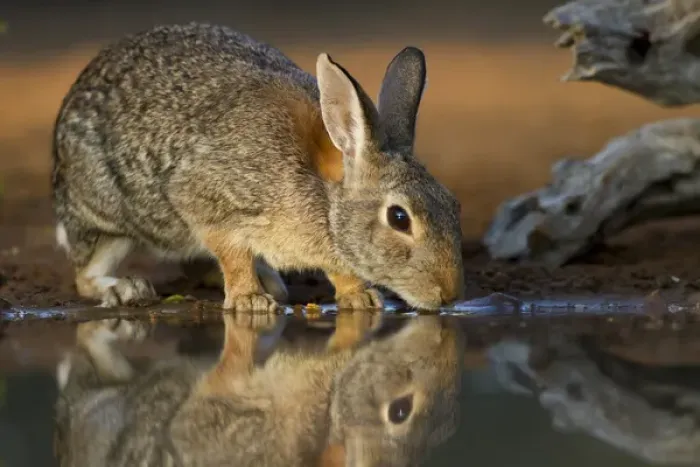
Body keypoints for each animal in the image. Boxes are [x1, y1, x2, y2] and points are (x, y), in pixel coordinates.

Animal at [51, 22, 464, 312]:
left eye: (453, 204)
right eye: (399, 218)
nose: (449, 295)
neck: (325, 196)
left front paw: (360, 298)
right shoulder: (207, 199)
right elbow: (232, 252)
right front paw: (250, 302)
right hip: (106, 220)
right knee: (86, 274)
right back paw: (125, 288)